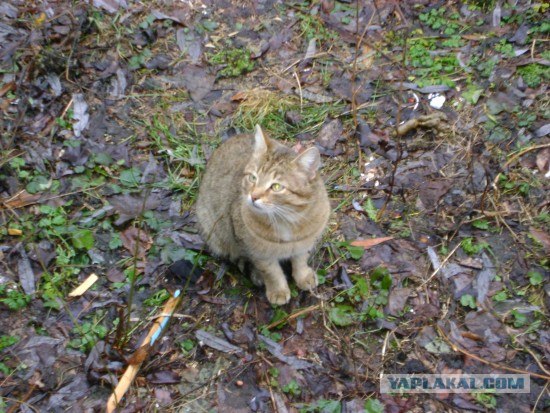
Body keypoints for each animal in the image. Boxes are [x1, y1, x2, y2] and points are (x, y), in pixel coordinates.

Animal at [196, 124, 330, 302]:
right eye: (253, 178)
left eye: (276, 187)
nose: (253, 196)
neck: (286, 219)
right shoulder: (258, 253)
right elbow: (271, 271)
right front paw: (277, 290)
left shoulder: (306, 243)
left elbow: (301, 259)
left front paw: (303, 276)